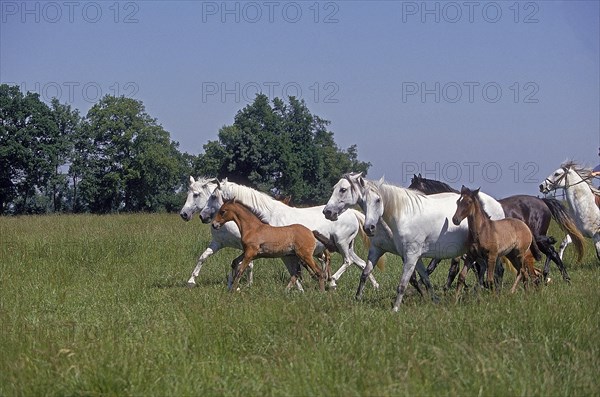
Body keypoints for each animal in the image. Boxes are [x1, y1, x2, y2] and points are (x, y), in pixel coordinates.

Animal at [202, 179, 380, 288]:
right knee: (361, 263)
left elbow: (295, 272)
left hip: (341, 244)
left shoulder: (285, 254)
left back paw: (333, 281)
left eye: (213, 196)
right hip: (347, 246)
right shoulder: (288, 254)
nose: (203, 217)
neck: (268, 216)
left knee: (348, 261)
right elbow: (295, 272)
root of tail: (352, 213)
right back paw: (375, 286)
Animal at [324, 172, 506, 310]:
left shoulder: (410, 255)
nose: (327, 212)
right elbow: (366, 273)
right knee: (481, 268)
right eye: (364, 202)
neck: (404, 215)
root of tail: (497, 205)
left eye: (343, 189)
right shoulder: (385, 250)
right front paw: (358, 298)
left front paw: (396, 308)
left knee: (495, 269)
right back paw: (478, 292)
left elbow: (405, 282)